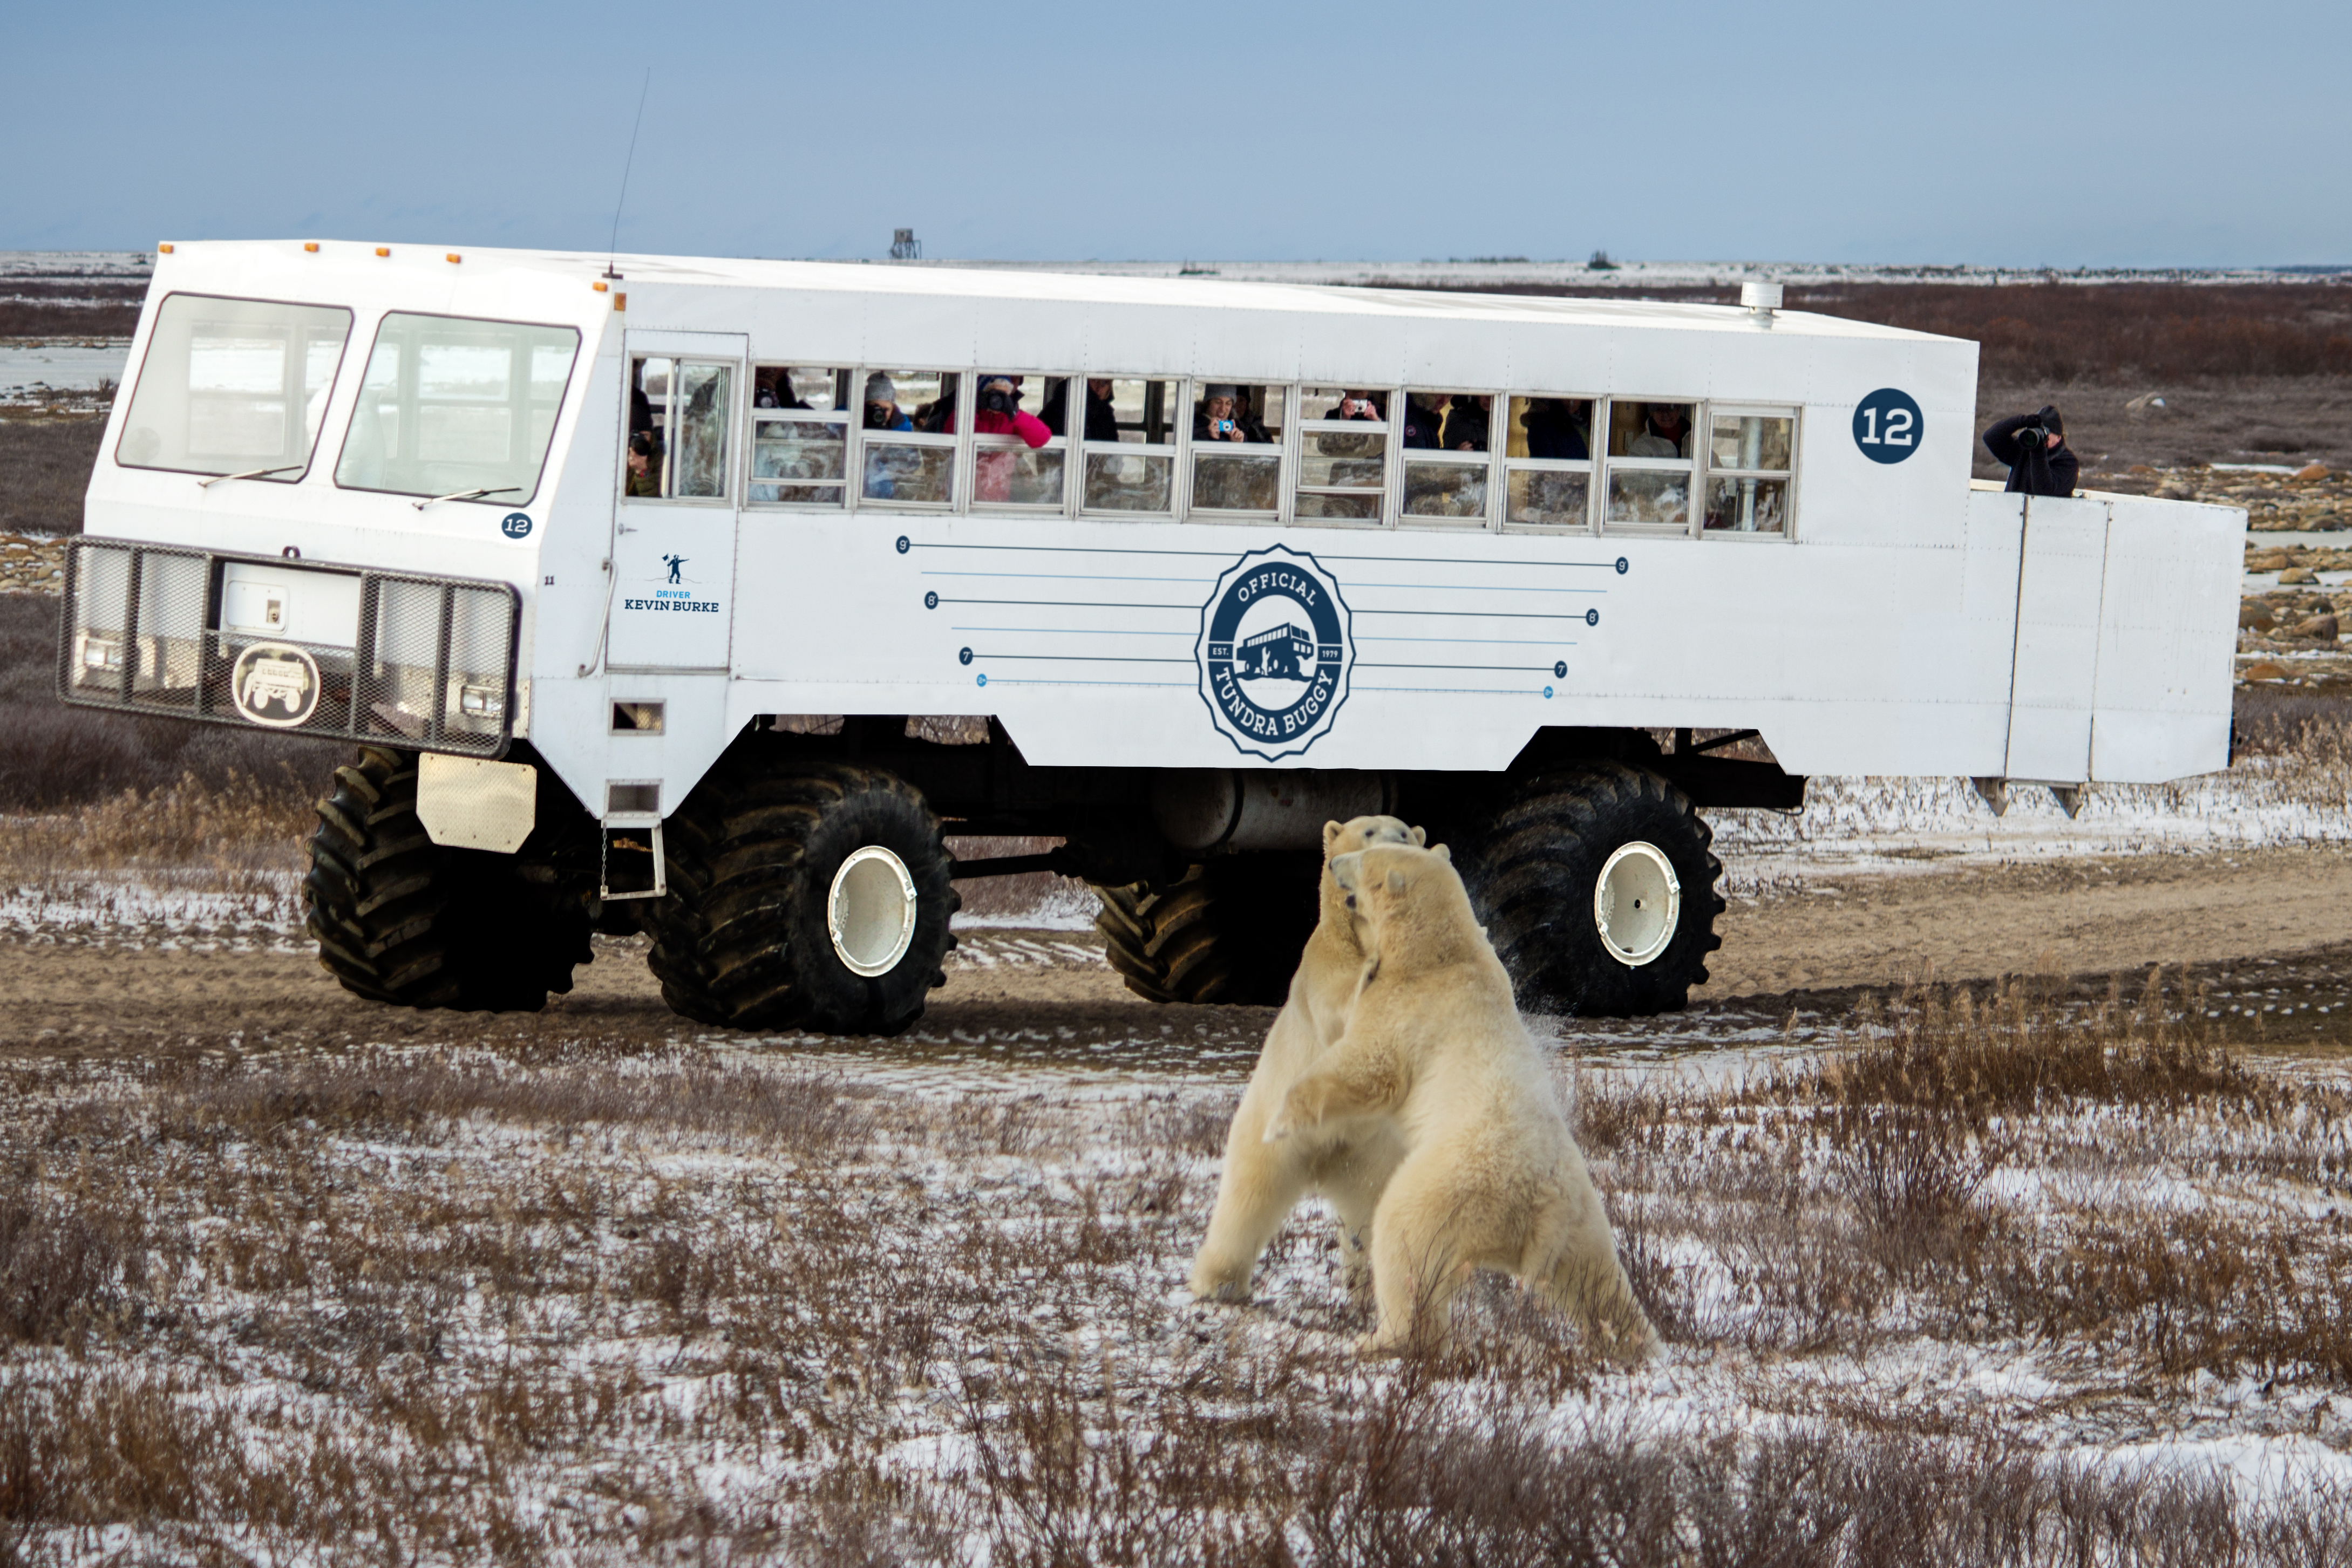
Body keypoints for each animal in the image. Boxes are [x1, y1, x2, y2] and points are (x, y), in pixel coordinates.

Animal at [1188, 815, 1421, 1305]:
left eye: (1406, 834)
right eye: (1369, 831)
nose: (1395, 848)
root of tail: (1325, 1160)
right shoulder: (1324, 963)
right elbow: (1340, 1008)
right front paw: (1372, 973)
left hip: (1372, 1152)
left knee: (1371, 1209)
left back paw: (1368, 1282)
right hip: (1271, 1129)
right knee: (1248, 1198)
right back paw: (1219, 1282)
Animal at [1265, 841, 1656, 1362]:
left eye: (1366, 857)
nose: (1332, 862)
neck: (1441, 954)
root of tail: (1539, 1204)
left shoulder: (1410, 1009)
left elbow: (1369, 1068)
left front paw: (1279, 1123)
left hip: (1450, 1189)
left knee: (1403, 1240)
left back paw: (1381, 1338)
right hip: (1582, 1217)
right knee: (1598, 1282)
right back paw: (1637, 1342)